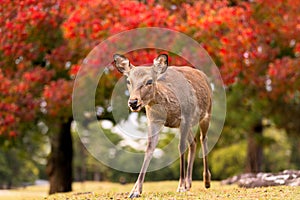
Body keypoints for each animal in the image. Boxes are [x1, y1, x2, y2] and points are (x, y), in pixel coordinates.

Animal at [113, 53, 212, 198]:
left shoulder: (186, 117)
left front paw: (180, 186)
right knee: (193, 142)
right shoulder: (154, 120)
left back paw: (206, 181)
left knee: (203, 139)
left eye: (149, 81)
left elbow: (180, 147)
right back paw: (189, 184)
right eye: (128, 81)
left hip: (206, 113)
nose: (133, 102)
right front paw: (135, 191)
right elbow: (149, 148)